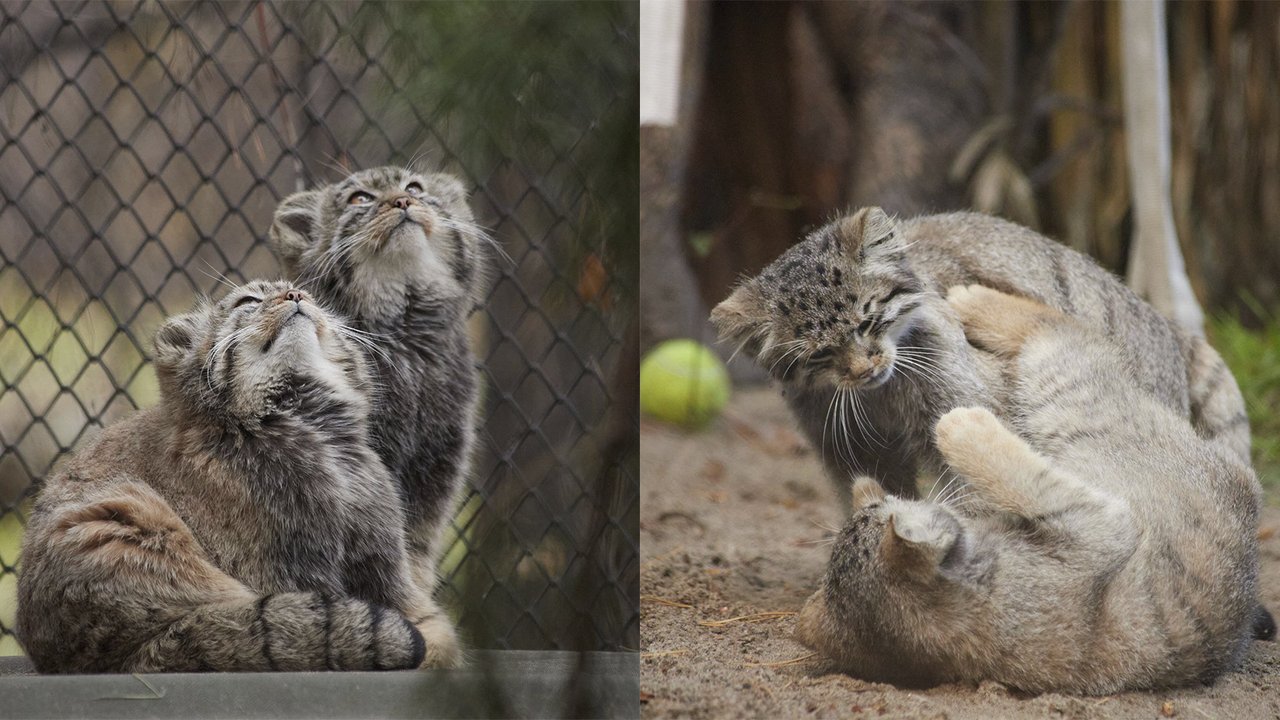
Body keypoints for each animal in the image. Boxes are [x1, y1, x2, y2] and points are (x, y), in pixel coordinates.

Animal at [267, 165, 486, 653]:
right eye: (359, 199)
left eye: (415, 188)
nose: (402, 202)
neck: (406, 338)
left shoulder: (437, 465)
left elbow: (414, 553)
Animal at [793, 284, 1254, 691]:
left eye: (893, 498)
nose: (878, 491)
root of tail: (1245, 486)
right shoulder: (1101, 520)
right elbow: (1020, 476)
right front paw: (961, 427)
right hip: (1071, 398)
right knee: (1060, 330)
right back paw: (972, 301)